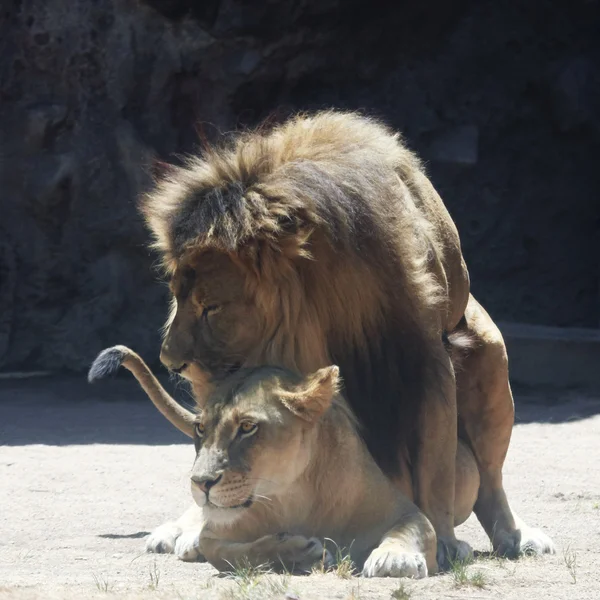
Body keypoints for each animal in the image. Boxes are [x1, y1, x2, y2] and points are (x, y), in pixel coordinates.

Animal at [89, 346, 480, 576]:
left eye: (247, 427)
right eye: (200, 427)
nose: (201, 483)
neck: (297, 495)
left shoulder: (406, 511)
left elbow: (413, 529)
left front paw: (393, 559)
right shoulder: (220, 532)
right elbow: (231, 552)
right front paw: (301, 551)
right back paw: (174, 537)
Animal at [139, 109, 552, 564]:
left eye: (211, 307)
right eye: (177, 299)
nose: (170, 361)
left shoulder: (424, 358)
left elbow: (436, 465)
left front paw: (441, 540)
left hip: (491, 357)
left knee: (489, 480)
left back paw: (515, 536)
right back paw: (186, 530)